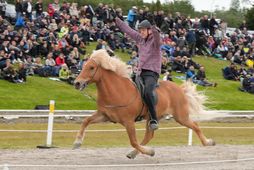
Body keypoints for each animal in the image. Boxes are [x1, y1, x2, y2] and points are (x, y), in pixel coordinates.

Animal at [72, 49, 215, 159]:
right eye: (83, 66)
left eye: (91, 67)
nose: (77, 83)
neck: (117, 90)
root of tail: (179, 89)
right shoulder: (104, 115)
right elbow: (85, 121)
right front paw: (77, 142)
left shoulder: (128, 122)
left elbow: (133, 141)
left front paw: (150, 151)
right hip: (152, 119)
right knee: (149, 135)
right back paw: (133, 153)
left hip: (181, 117)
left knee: (195, 126)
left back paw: (208, 142)